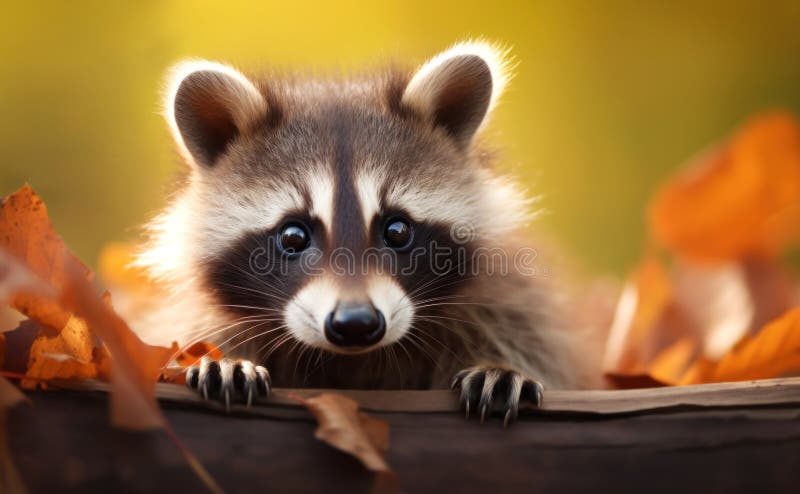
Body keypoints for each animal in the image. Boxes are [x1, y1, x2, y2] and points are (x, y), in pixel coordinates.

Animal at [135, 41, 599, 425]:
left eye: (397, 229)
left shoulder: (506, 297)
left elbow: (528, 336)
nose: (356, 324)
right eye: (293, 237)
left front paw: (500, 366)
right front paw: (227, 359)